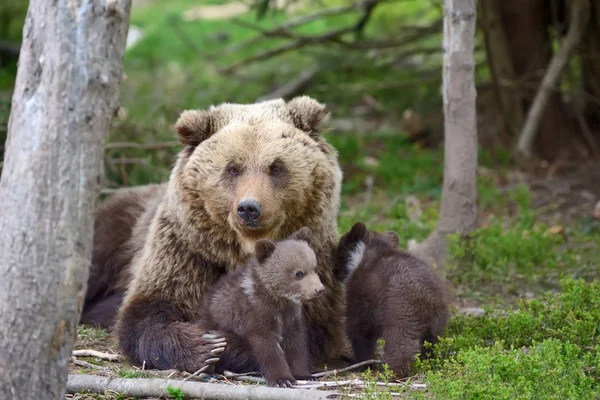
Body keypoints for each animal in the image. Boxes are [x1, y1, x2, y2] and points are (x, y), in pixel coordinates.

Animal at [83, 97, 346, 372]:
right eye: (233, 168)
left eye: (276, 167)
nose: (249, 208)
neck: (243, 249)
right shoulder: (187, 253)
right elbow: (147, 312)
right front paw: (203, 346)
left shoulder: (314, 262)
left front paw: (223, 344)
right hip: (121, 228)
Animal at [199, 228, 324, 388]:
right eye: (298, 273)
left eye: (314, 268)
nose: (319, 289)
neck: (278, 299)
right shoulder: (256, 312)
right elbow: (267, 346)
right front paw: (283, 379)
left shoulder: (291, 316)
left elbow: (296, 344)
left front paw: (304, 374)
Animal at [338, 223, 450, 376]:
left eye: (338, 248)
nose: (335, 272)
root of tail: (428, 297)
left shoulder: (360, 296)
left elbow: (359, 331)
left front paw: (362, 364)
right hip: (437, 321)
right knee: (432, 343)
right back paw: (429, 362)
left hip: (401, 312)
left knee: (399, 344)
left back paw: (394, 372)